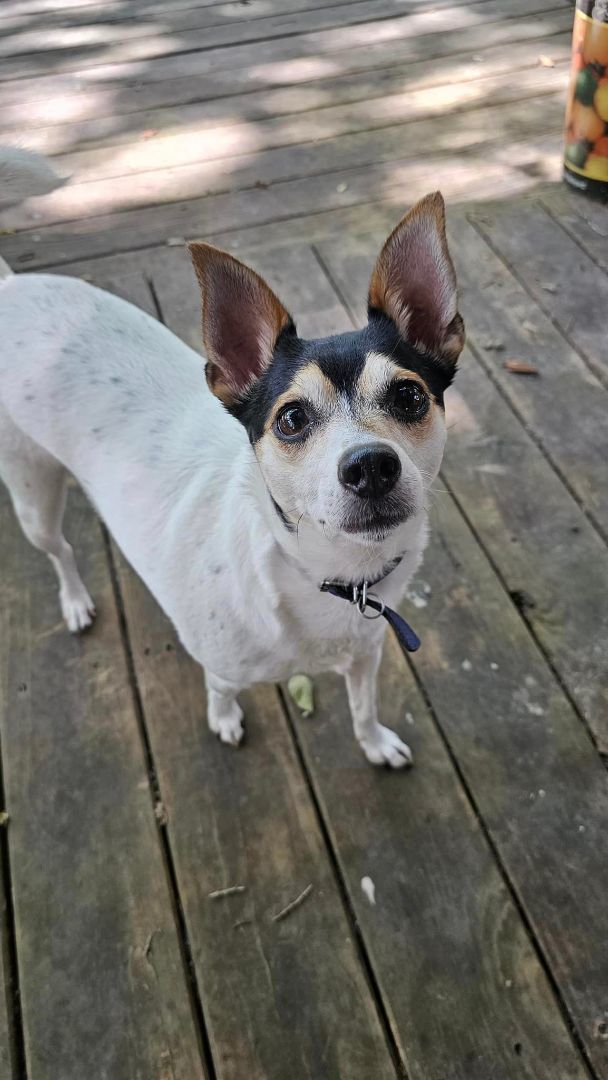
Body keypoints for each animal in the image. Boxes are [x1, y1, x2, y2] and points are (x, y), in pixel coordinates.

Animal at [0, 152, 464, 768]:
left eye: (409, 397)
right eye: (291, 419)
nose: (370, 466)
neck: (328, 576)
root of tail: (11, 286)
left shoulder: (366, 654)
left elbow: (363, 708)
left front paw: (375, 744)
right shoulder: (221, 667)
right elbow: (220, 691)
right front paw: (224, 719)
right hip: (31, 492)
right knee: (61, 550)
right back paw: (75, 601)